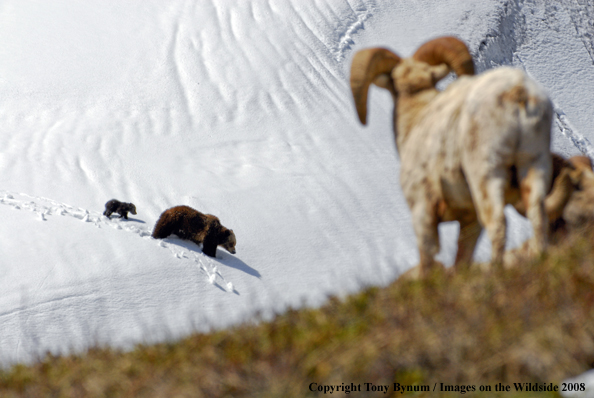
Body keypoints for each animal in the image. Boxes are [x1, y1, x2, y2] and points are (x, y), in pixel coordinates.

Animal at [350, 36, 552, 274]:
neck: (416, 119)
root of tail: (517, 92)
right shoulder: (469, 220)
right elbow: (461, 258)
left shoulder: (422, 211)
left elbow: (427, 258)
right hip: (535, 163)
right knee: (537, 212)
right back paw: (539, 257)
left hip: (486, 174)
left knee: (497, 223)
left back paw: (496, 271)